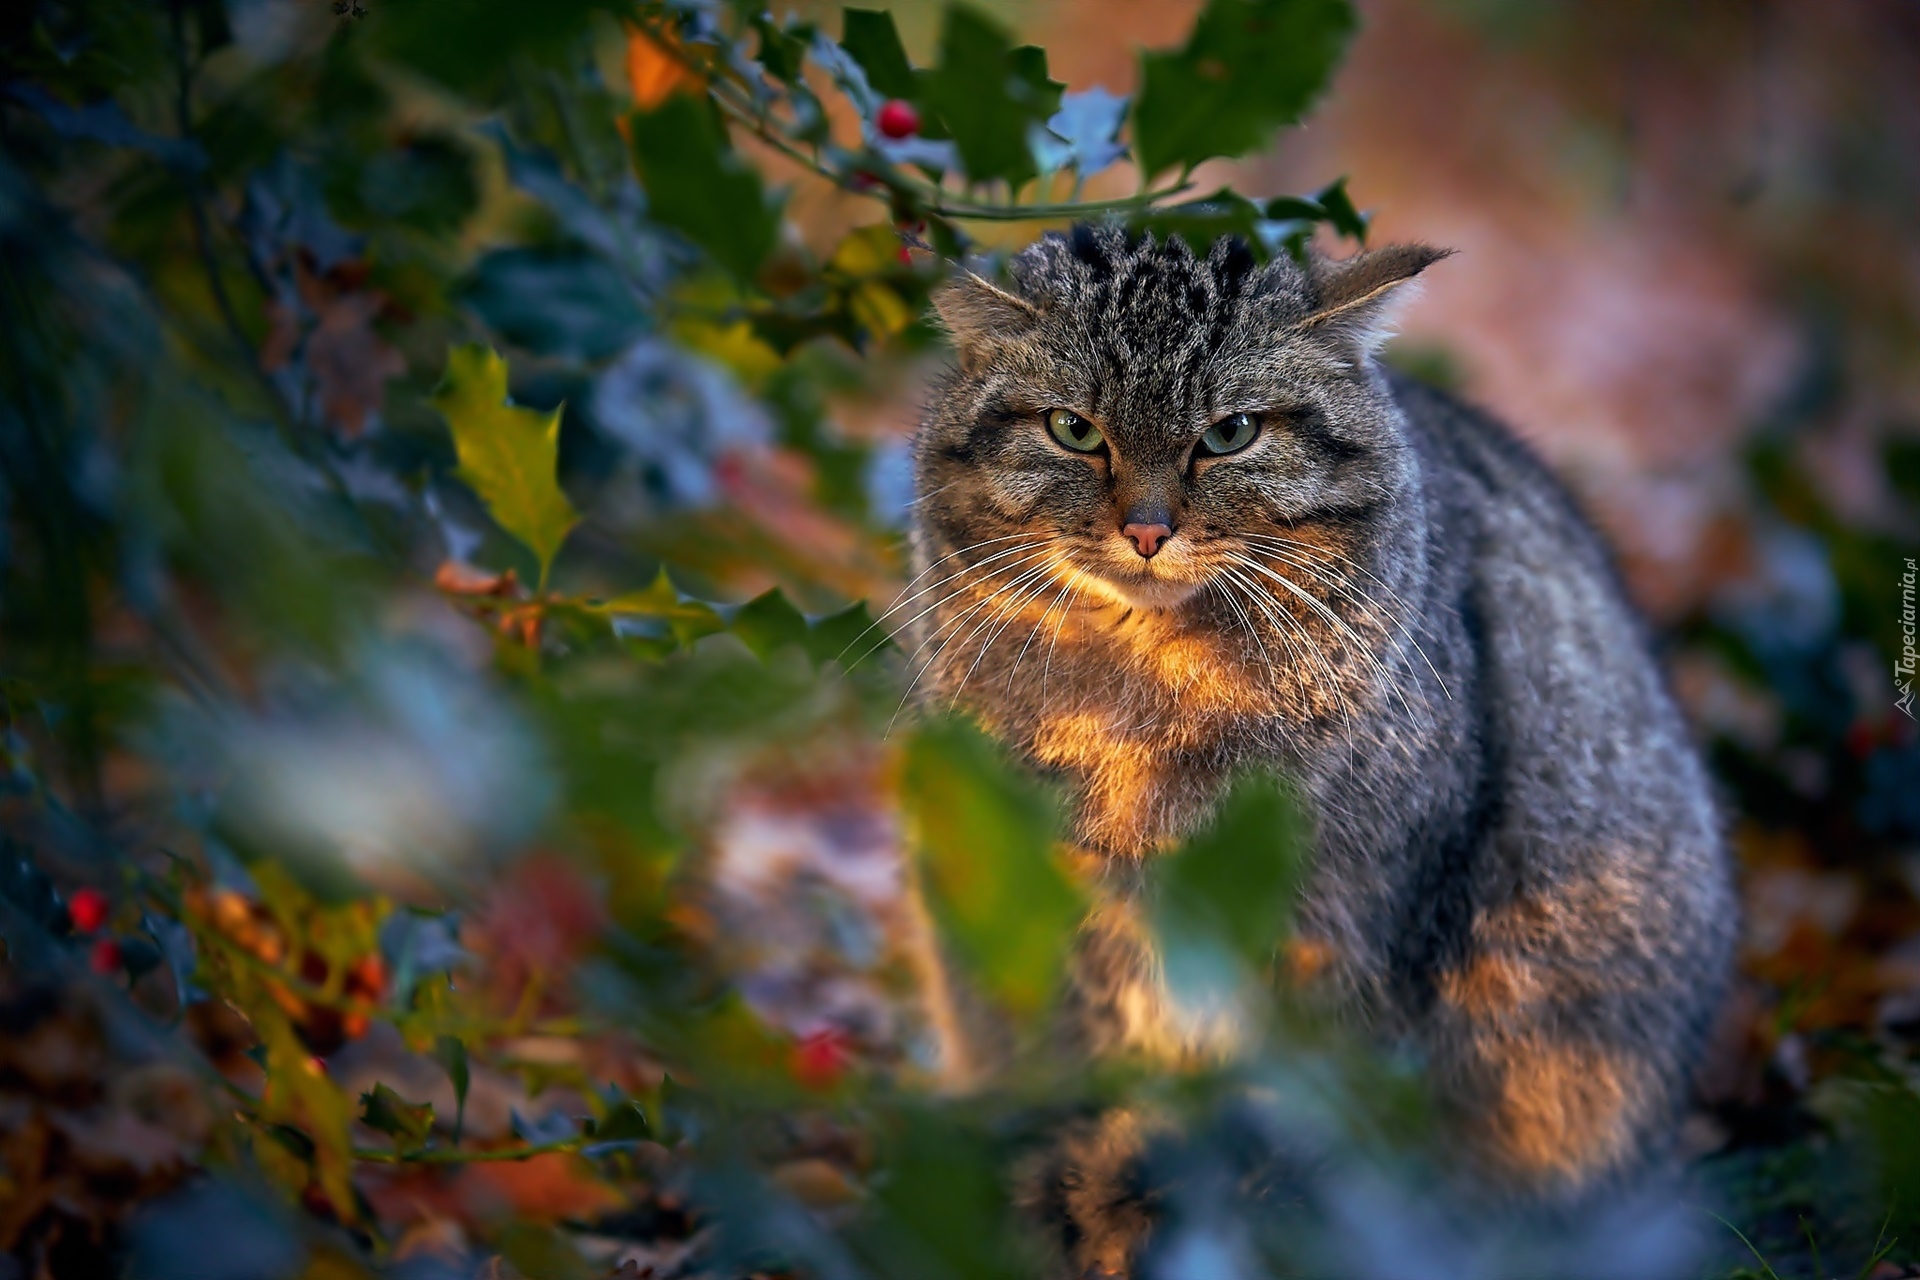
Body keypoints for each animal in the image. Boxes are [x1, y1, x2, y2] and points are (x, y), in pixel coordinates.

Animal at [906, 225, 1735, 1274]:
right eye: (1074, 430)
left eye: (1231, 433)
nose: (1146, 529)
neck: (1139, 705)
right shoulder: (1041, 902)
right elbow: (1080, 1063)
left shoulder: (1340, 936)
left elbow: (1297, 1111)